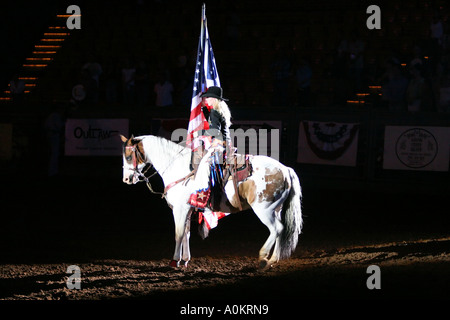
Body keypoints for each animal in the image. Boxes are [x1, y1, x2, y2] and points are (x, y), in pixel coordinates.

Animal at [120, 134, 302, 268]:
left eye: (128, 157)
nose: (126, 179)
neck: (179, 167)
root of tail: (285, 169)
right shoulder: (188, 209)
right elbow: (186, 233)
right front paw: (185, 260)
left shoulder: (179, 208)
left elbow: (178, 233)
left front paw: (174, 261)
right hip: (275, 209)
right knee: (280, 230)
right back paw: (273, 260)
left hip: (265, 210)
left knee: (276, 229)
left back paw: (265, 258)